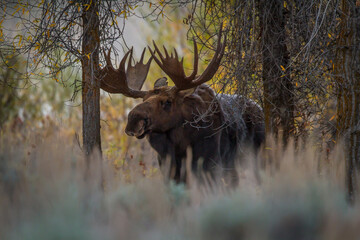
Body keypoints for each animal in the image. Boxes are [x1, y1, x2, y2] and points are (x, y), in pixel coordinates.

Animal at [98, 27, 264, 186]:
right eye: (143, 98)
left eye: (167, 101)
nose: (133, 120)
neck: (180, 144)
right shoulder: (168, 167)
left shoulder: (212, 164)